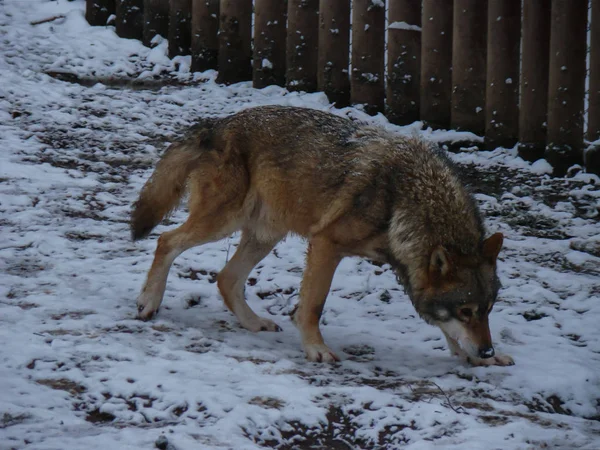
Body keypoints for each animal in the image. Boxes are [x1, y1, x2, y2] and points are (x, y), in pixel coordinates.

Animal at [132, 107, 516, 368]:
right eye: (465, 310)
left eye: (486, 310)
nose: (488, 349)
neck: (407, 198)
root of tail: (216, 124)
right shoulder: (326, 245)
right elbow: (313, 306)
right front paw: (316, 348)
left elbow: (444, 326)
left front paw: (480, 359)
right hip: (223, 223)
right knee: (166, 241)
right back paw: (149, 302)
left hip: (265, 235)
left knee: (226, 278)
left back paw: (254, 323)